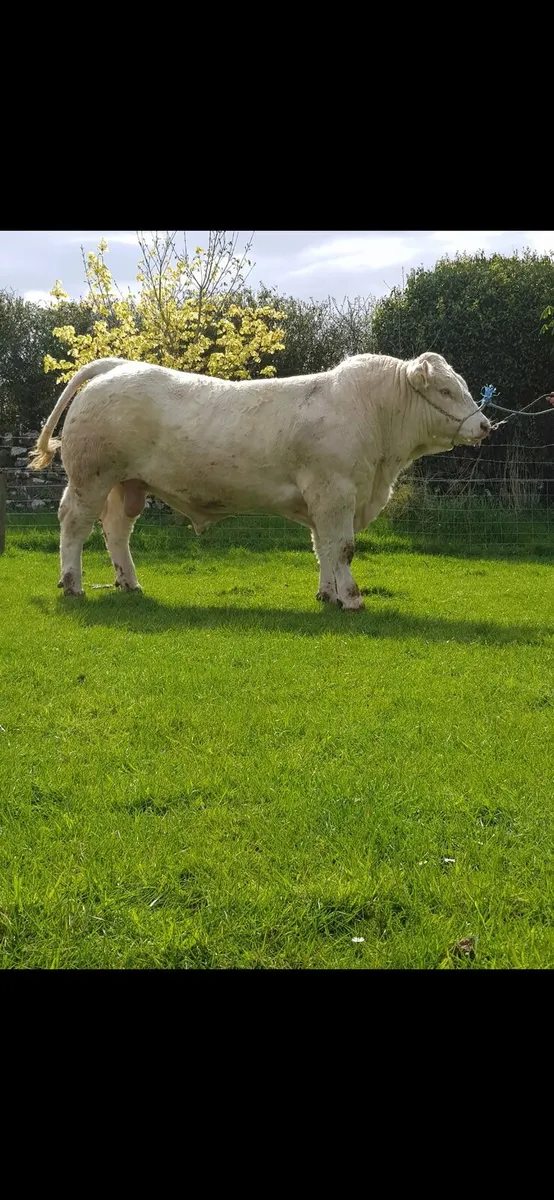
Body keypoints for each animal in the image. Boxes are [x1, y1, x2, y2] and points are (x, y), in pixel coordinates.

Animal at [29, 352, 491, 606]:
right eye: (446, 391)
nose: (486, 425)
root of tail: (117, 366)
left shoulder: (325, 500)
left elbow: (324, 548)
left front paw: (328, 595)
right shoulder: (336, 491)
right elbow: (342, 548)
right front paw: (352, 598)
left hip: (127, 484)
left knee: (116, 530)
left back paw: (129, 583)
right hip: (90, 478)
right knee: (74, 525)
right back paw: (72, 585)